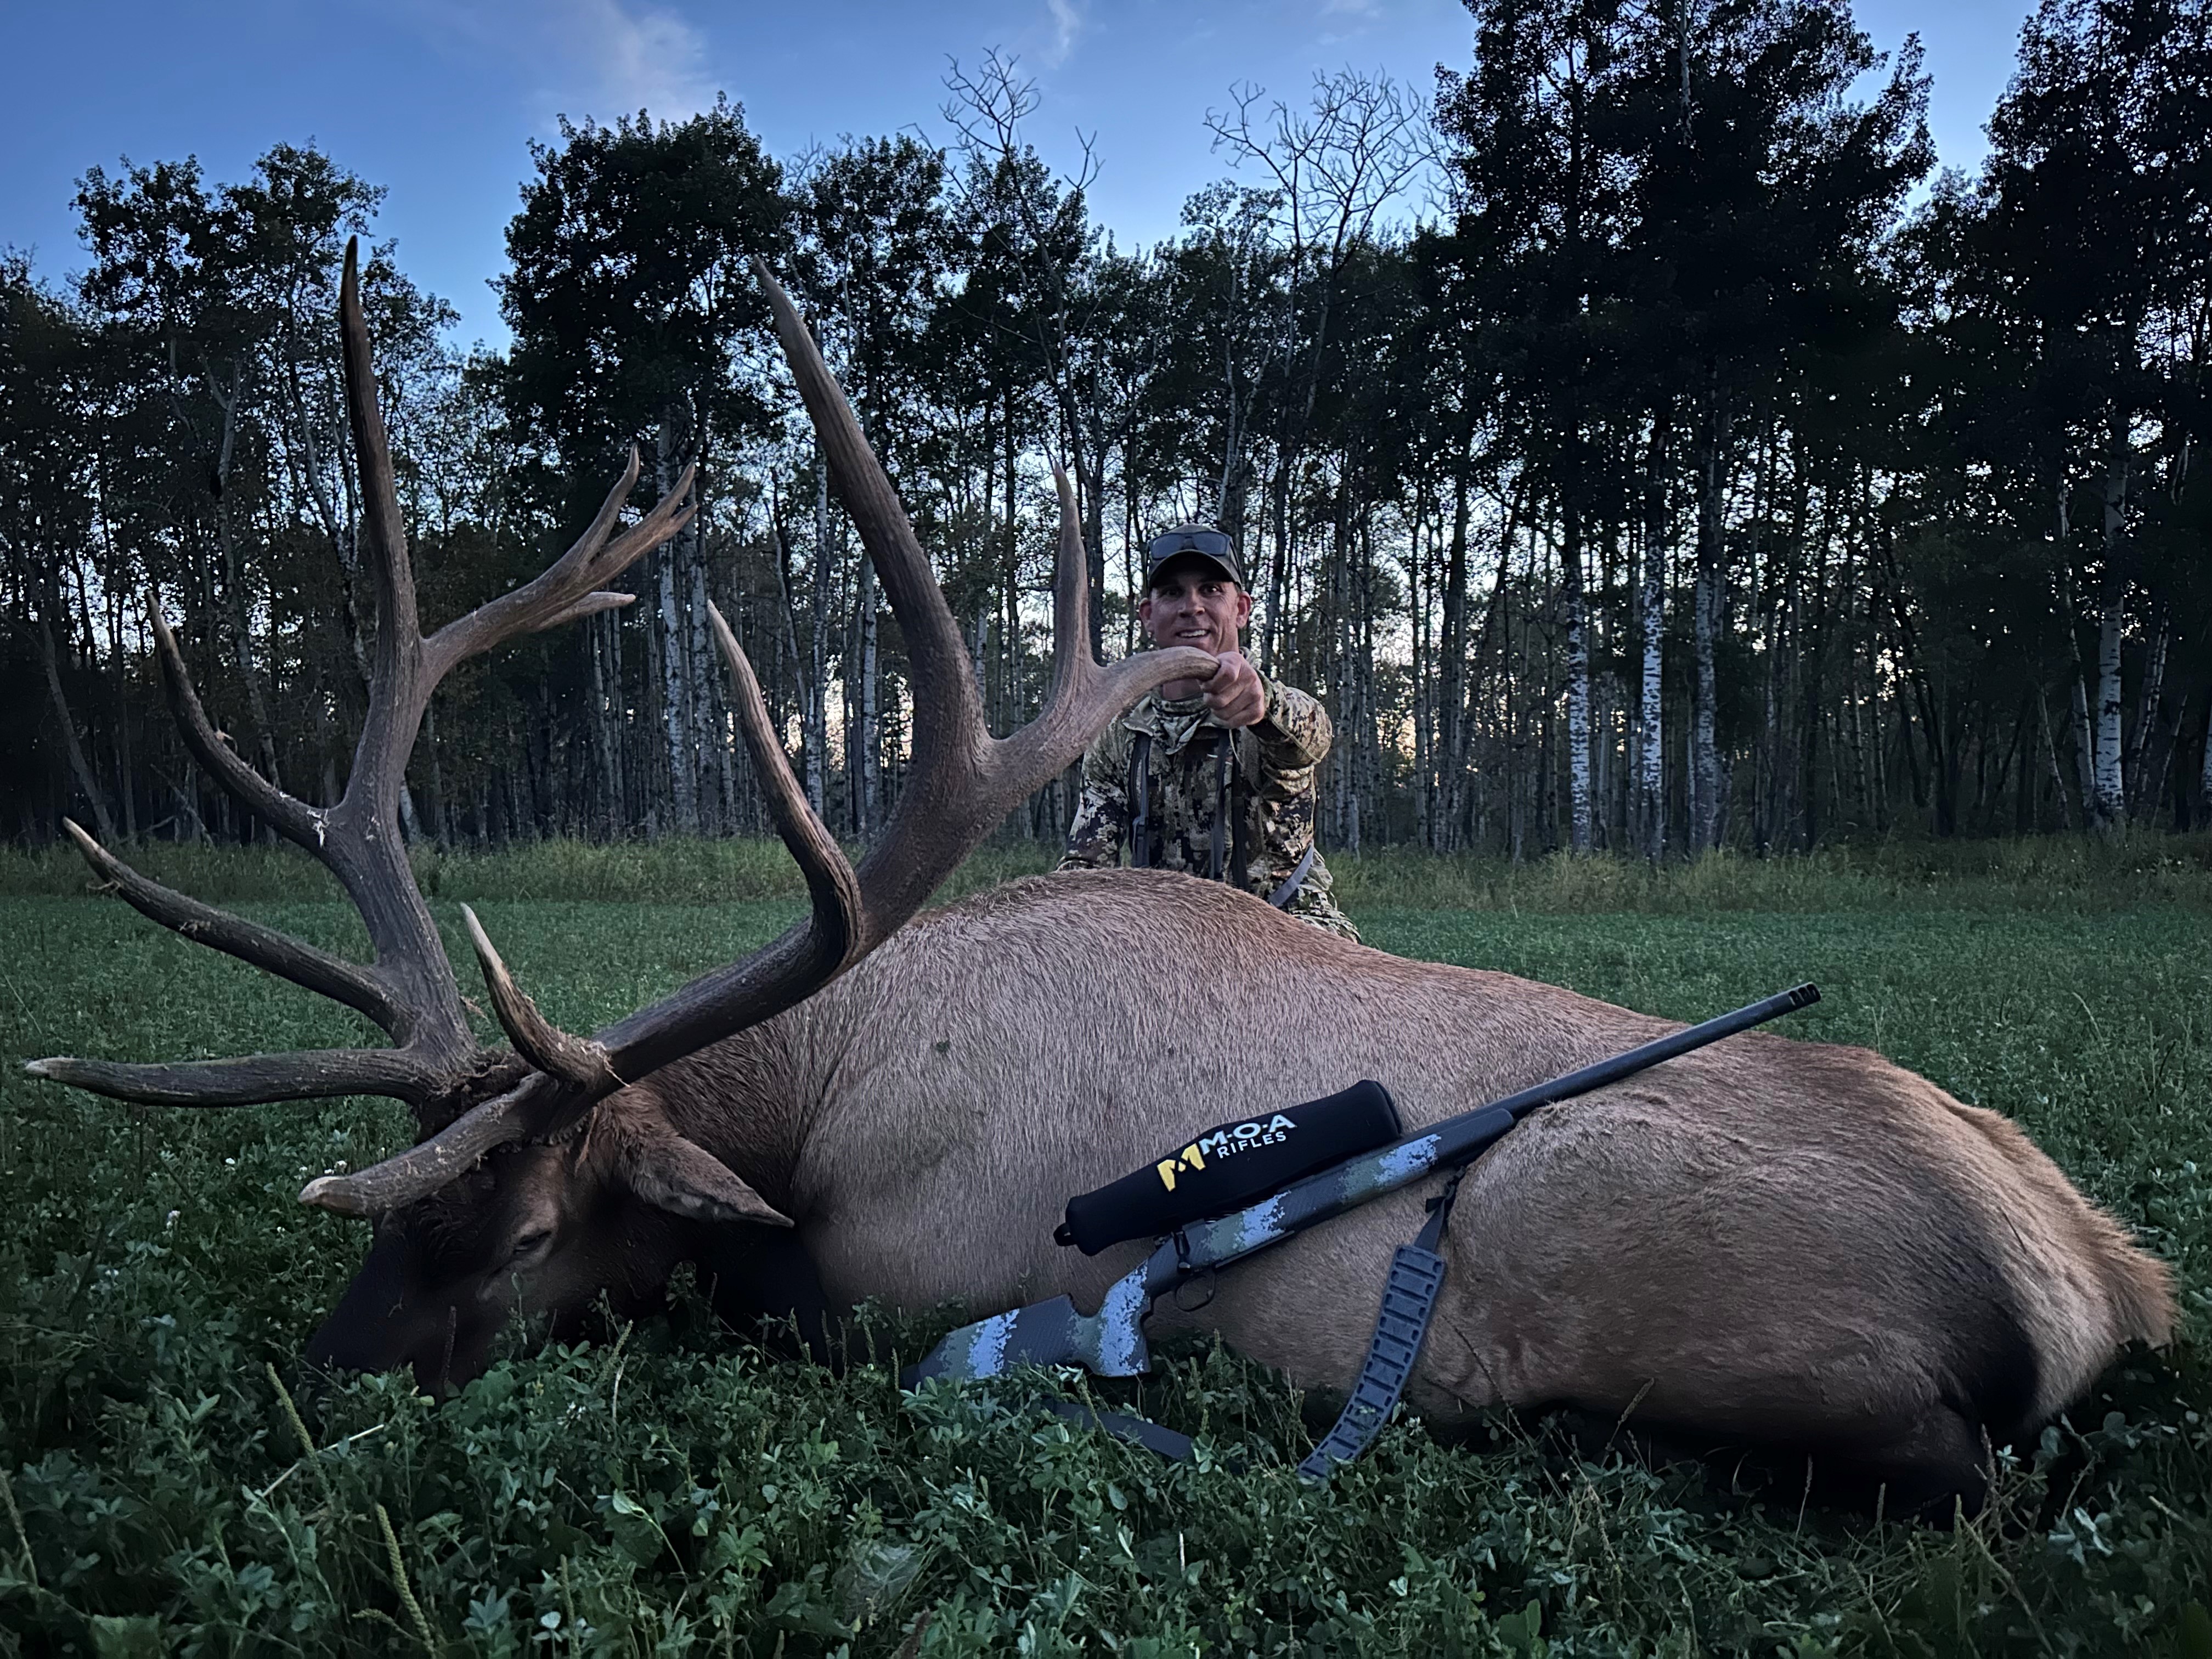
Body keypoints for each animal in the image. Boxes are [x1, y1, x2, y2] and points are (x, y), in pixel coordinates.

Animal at [28, 243, 2176, 1516]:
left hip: (1765, 1352)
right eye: (400, 1202)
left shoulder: (902, 1277)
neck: (812, 1095)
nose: (317, 1386)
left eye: (528, 1230)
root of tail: (2100, 1280)